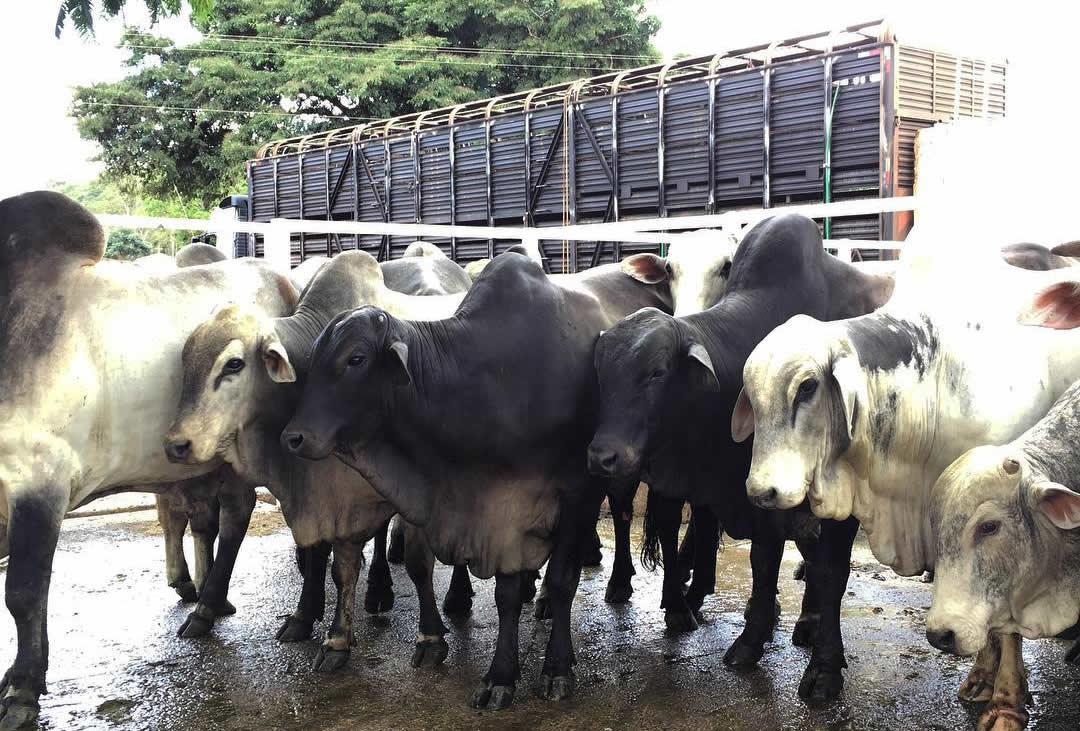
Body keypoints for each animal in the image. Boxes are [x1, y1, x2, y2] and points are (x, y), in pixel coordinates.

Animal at [0, 191, 298, 725]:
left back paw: (207, 606)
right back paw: (210, 600)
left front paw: (22, 688)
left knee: (234, 519)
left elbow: (23, 592)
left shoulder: (38, 480)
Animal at [280, 253, 665, 708]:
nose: (292, 437)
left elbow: (563, 580)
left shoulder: (576, 493)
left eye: (355, 359)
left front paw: (556, 668)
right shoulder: (503, 510)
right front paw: (502, 675)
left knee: (620, 520)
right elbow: (507, 595)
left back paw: (623, 586)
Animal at [591, 214, 894, 699]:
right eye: (600, 372)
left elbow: (831, 572)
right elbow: (764, 561)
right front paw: (753, 636)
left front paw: (824, 666)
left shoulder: (838, 502)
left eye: (657, 372)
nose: (604, 456)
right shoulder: (756, 491)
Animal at [734, 248, 1080, 725]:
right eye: (751, 396)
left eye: (807, 387)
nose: (761, 492)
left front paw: (1005, 702)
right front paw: (981, 676)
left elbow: (1005, 617)